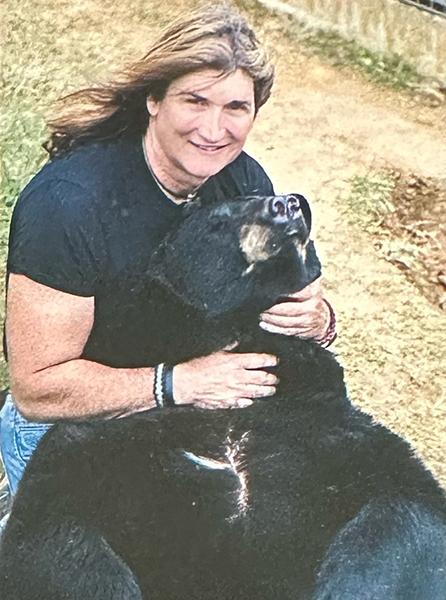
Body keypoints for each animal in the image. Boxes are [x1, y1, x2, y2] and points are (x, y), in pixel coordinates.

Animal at [0, 195, 444, 596]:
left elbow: (405, 515)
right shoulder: (101, 451)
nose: (289, 203)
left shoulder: (332, 433)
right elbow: (60, 538)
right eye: (221, 217)